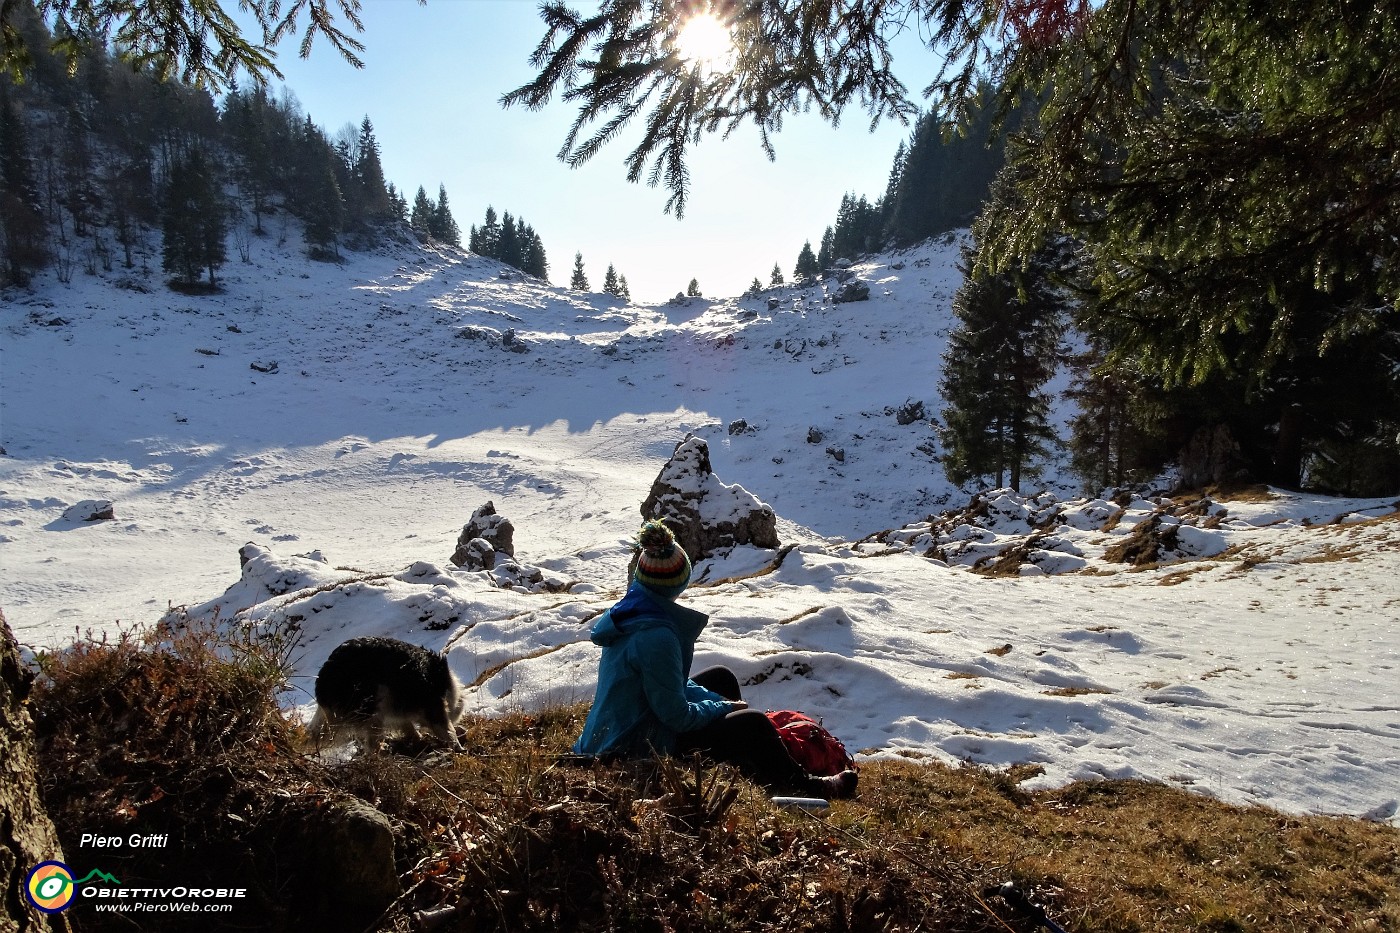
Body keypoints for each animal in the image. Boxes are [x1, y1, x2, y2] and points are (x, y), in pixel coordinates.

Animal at [309, 633, 467, 750]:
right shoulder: (431, 702)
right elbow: (445, 727)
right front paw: (456, 744)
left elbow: (406, 724)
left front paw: (418, 737)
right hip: (371, 699)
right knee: (372, 737)